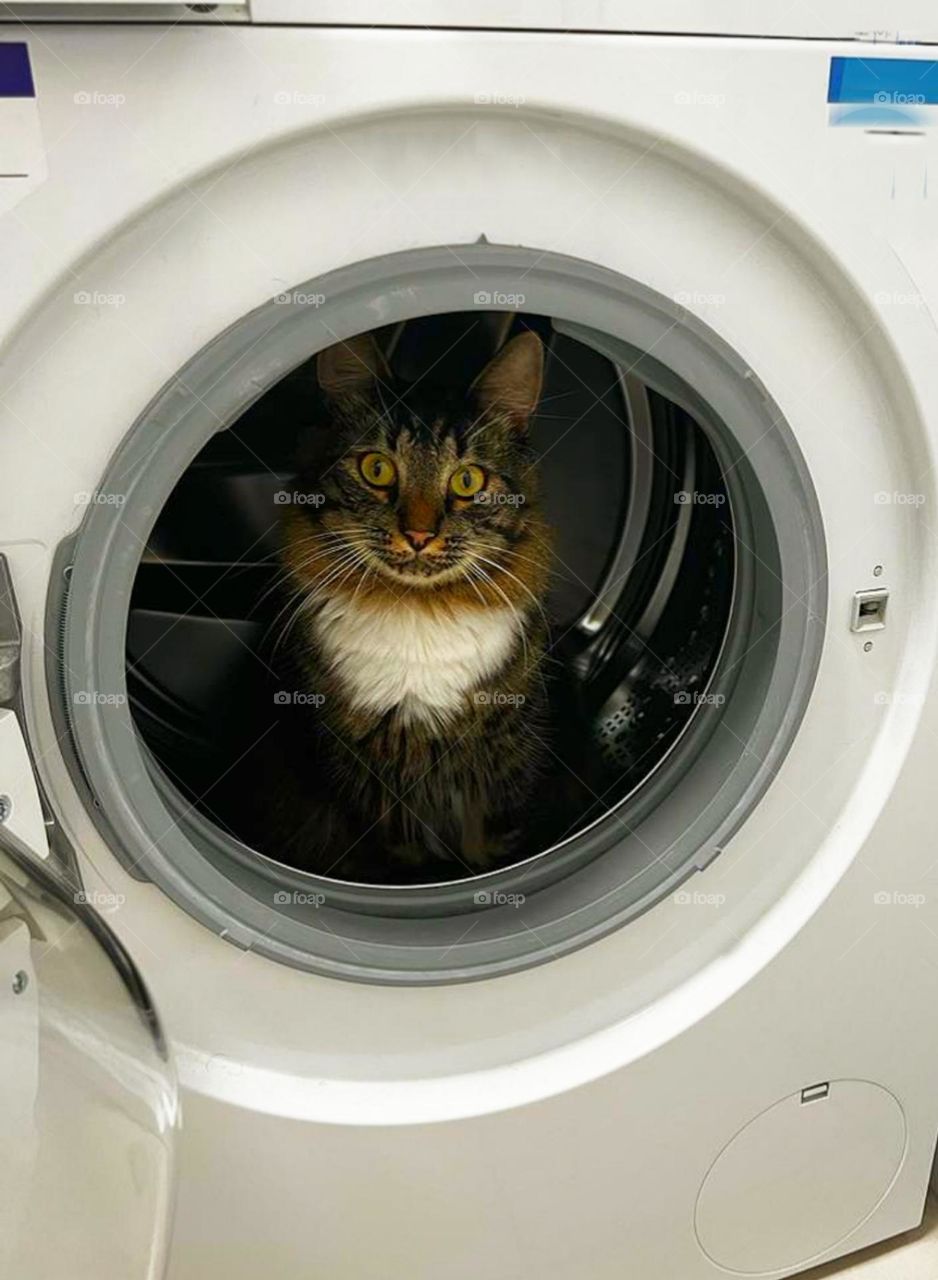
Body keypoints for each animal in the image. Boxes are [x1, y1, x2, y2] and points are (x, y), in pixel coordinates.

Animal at [258, 330, 547, 880]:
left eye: (467, 481)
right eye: (377, 469)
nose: (418, 535)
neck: (419, 609)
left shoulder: (502, 770)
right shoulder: (366, 783)